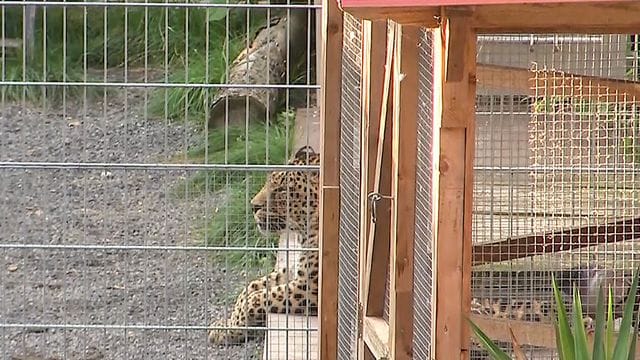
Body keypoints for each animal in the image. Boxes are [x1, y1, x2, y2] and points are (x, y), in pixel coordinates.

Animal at [209, 145, 320, 344]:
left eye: (283, 190)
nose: (253, 206)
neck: (302, 233)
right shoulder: (289, 272)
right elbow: (248, 290)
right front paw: (226, 327)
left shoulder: (307, 288)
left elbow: (254, 300)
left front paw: (231, 330)